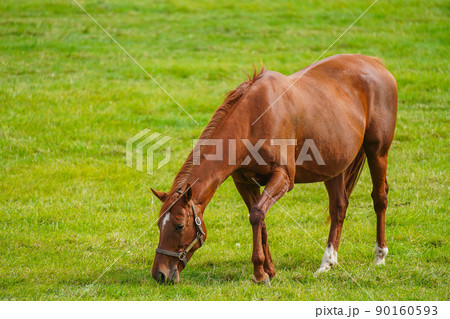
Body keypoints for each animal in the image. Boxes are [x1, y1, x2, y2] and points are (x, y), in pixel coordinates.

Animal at [150, 53, 398, 284]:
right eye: (159, 224)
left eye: (179, 226)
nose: (159, 274)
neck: (254, 118)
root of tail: (375, 63)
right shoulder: (245, 182)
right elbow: (260, 220)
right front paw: (269, 270)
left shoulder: (283, 177)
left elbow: (257, 215)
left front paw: (259, 273)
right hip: (333, 167)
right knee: (339, 207)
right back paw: (327, 262)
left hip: (377, 152)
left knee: (379, 198)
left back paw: (379, 255)